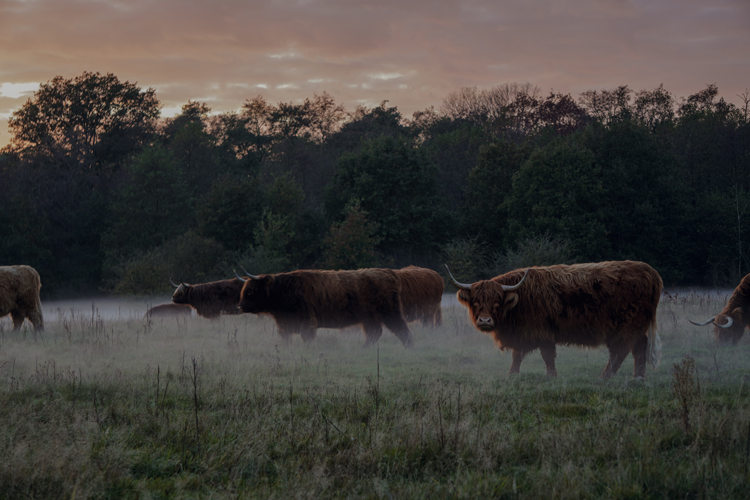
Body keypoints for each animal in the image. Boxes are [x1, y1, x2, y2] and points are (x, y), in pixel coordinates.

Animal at [238, 268, 414, 346]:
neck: (284, 290)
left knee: (402, 329)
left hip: (390, 312)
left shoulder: (307, 321)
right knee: (374, 333)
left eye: (250, 291)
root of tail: (389, 273)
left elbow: (307, 337)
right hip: (369, 318)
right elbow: (285, 336)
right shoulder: (285, 323)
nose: (240, 306)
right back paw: (364, 348)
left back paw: (409, 347)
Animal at [446, 262, 664, 378]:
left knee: (621, 351)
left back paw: (604, 377)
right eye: (476, 301)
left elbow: (547, 355)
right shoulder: (522, 334)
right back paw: (638, 377)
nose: (485, 320)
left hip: (627, 325)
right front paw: (512, 375)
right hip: (636, 326)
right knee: (639, 347)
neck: (519, 301)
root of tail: (649, 271)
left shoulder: (543, 332)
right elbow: (517, 355)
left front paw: (551, 376)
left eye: (497, 300)